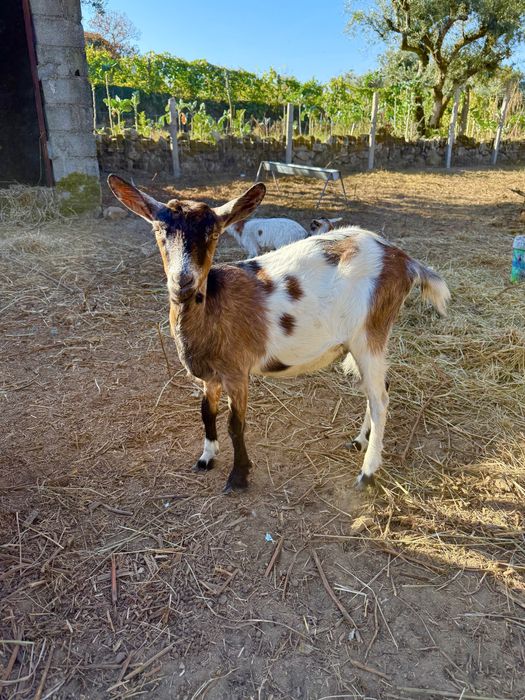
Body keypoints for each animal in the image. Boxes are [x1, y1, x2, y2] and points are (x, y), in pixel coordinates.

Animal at [108, 175, 450, 494]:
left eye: (213, 233)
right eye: (159, 231)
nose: (183, 280)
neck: (214, 308)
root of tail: (404, 260)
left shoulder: (237, 371)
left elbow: (236, 425)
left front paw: (238, 477)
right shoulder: (209, 376)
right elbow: (206, 413)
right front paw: (206, 458)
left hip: (371, 333)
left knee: (380, 399)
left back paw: (367, 473)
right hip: (360, 342)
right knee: (378, 388)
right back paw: (359, 441)